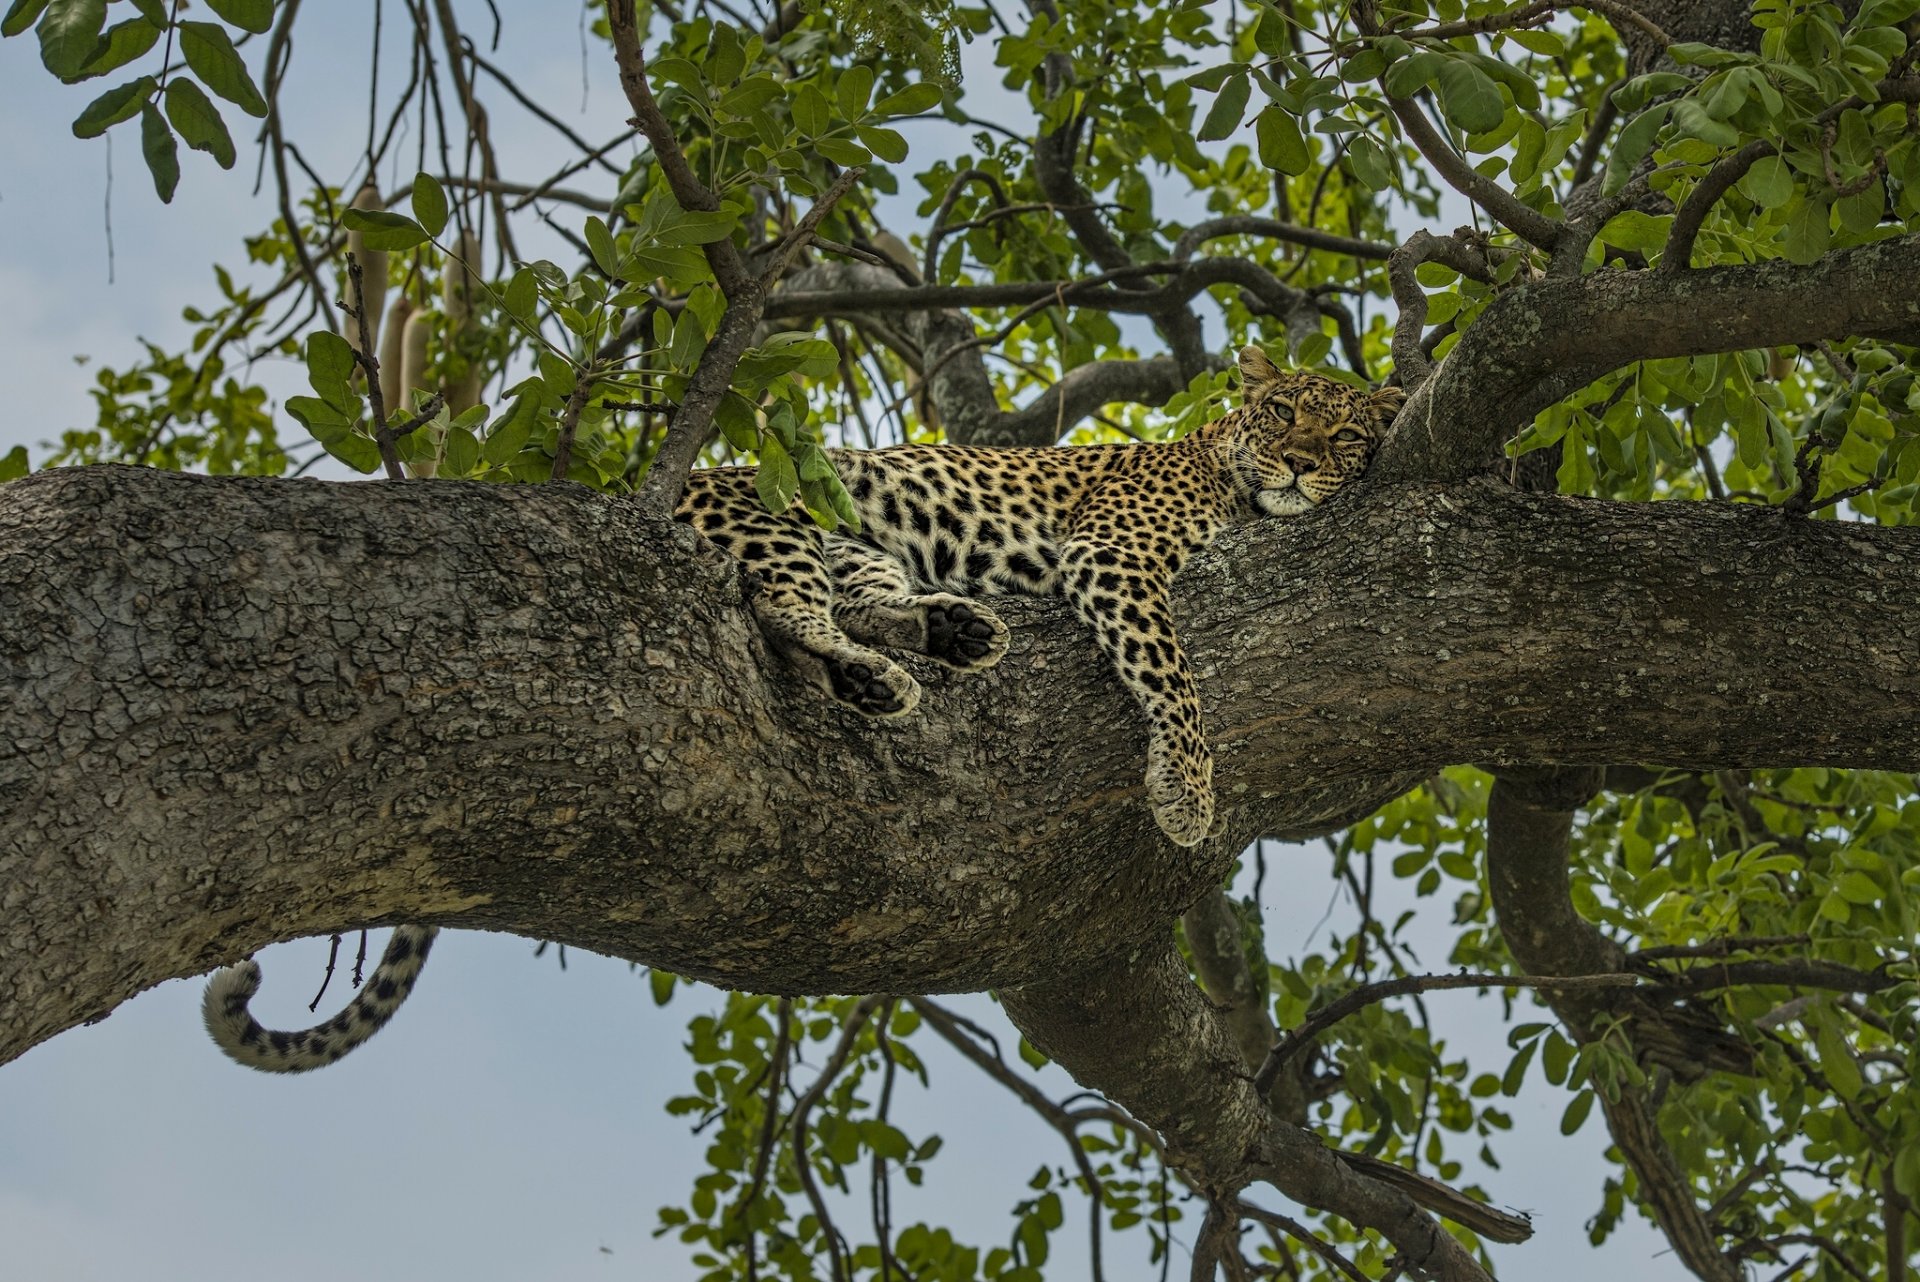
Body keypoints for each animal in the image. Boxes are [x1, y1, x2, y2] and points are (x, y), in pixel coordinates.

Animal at [199, 344, 1400, 1073]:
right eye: (1282, 412)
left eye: (1341, 438)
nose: (1300, 467)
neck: (1222, 469)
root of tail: (647, 485)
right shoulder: (1119, 555)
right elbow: (1174, 672)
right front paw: (1188, 790)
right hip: (775, 516)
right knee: (784, 608)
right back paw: (891, 666)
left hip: (853, 540)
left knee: (857, 604)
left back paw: (944, 637)